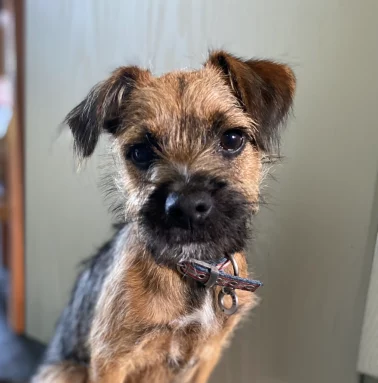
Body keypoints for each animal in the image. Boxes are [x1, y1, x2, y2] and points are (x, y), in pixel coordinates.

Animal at [31, 51, 296, 383]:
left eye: (232, 138)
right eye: (141, 152)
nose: (187, 206)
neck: (193, 271)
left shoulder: (207, 355)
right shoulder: (110, 360)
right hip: (64, 372)